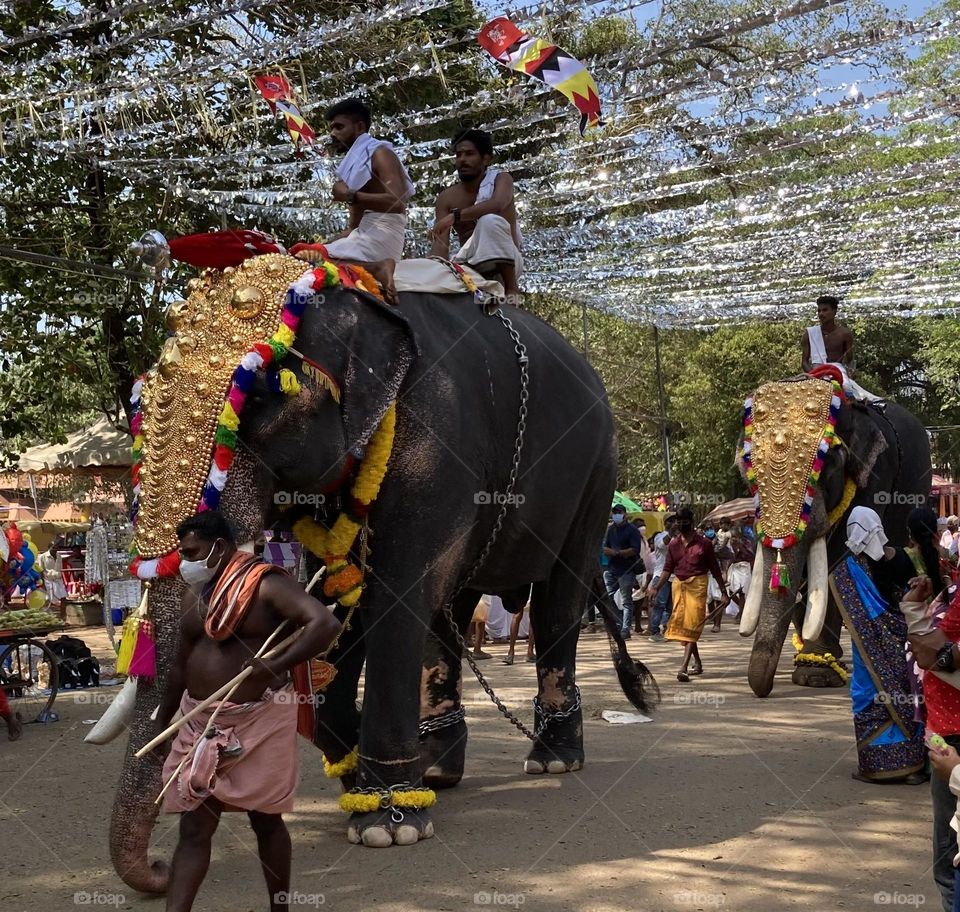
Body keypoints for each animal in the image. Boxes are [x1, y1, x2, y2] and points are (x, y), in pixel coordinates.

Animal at [109, 248, 656, 892]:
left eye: (260, 395)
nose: (159, 868)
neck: (354, 292)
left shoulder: (434, 439)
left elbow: (393, 598)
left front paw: (387, 823)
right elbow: (338, 597)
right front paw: (363, 778)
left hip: (597, 473)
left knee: (557, 598)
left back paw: (551, 760)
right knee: (451, 604)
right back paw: (439, 770)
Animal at [736, 374, 928, 696]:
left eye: (830, 464)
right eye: (747, 467)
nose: (762, 691)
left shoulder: (878, 469)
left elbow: (836, 558)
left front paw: (815, 676)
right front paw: (812, 661)